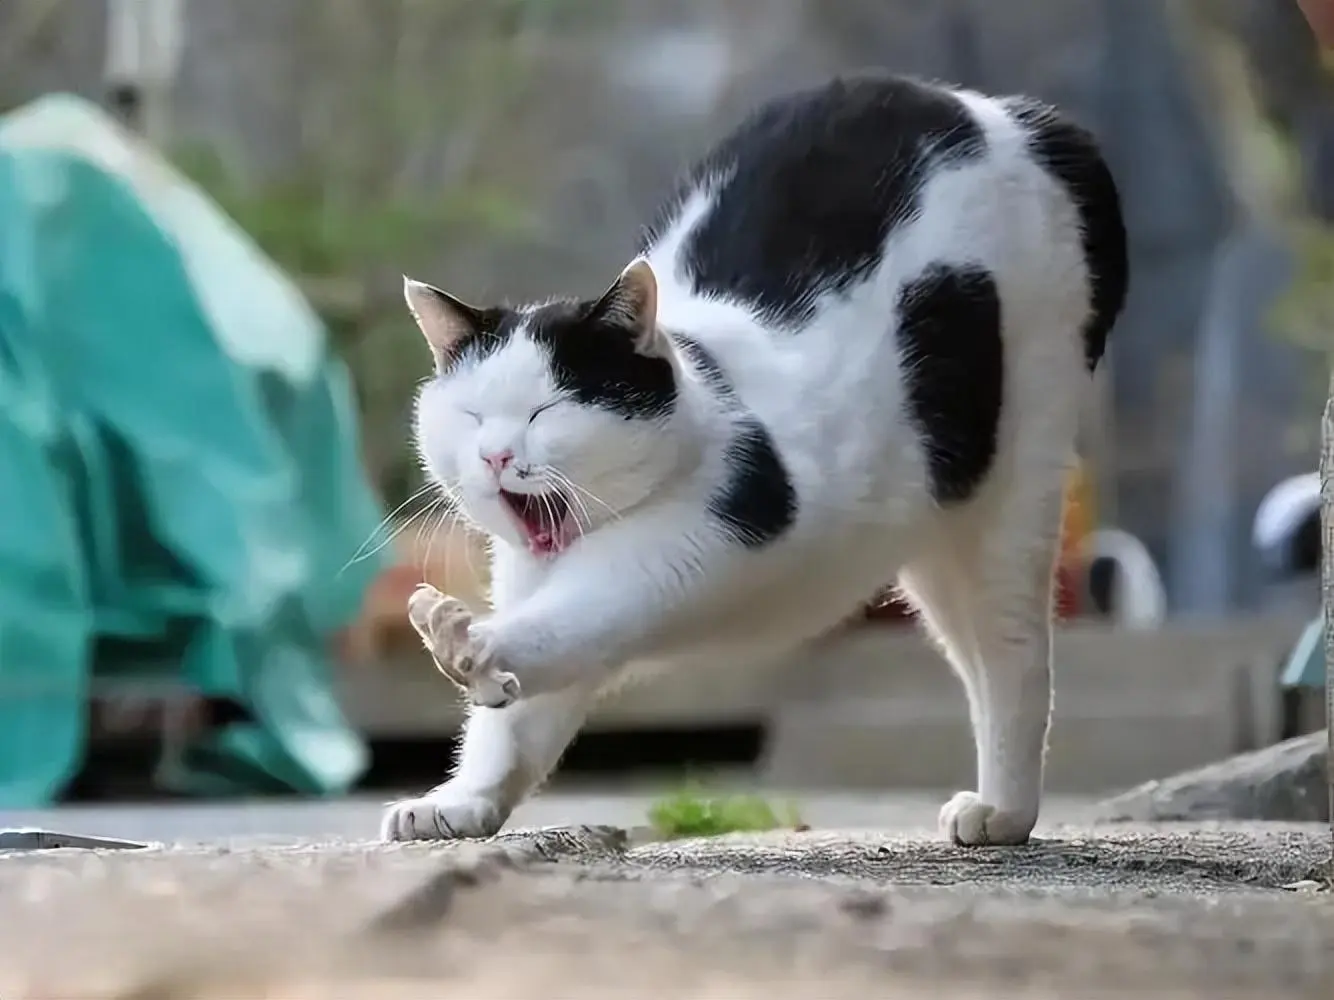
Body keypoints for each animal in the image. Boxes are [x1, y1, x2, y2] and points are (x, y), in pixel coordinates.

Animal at [384, 70, 1125, 848]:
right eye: (471, 415)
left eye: (545, 411)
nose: (496, 455)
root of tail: (1001, 111)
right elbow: (519, 719)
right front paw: (465, 798)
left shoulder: (699, 536)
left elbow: (579, 615)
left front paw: (471, 644)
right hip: (931, 521)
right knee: (976, 654)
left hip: (1016, 475)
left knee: (1014, 652)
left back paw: (1006, 812)